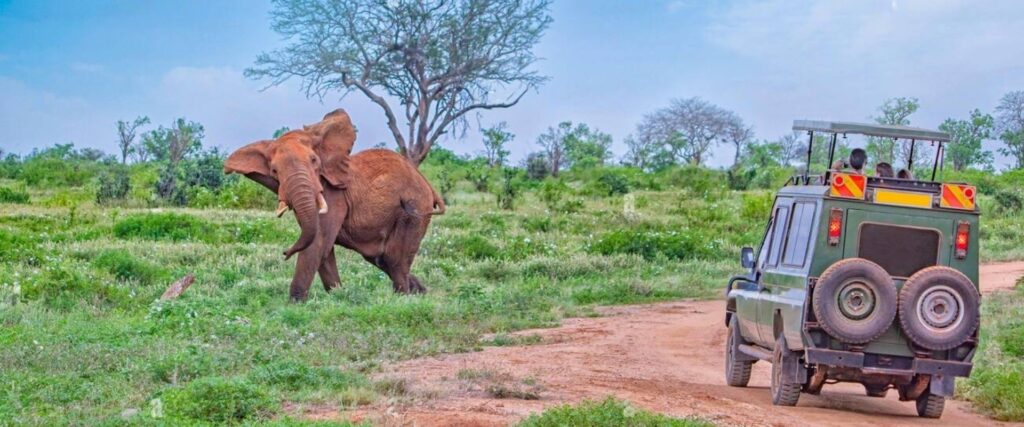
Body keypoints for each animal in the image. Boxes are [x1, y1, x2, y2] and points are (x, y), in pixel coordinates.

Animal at [224, 109, 445, 301]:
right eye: (274, 171)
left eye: (314, 161)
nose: (285, 253)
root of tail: (428, 185)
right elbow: (323, 249)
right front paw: (338, 295)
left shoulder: (334, 196)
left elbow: (318, 242)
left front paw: (295, 304)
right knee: (380, 258)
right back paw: (421, 293)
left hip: (415, 209)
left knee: (393, 259)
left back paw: (403, 298)